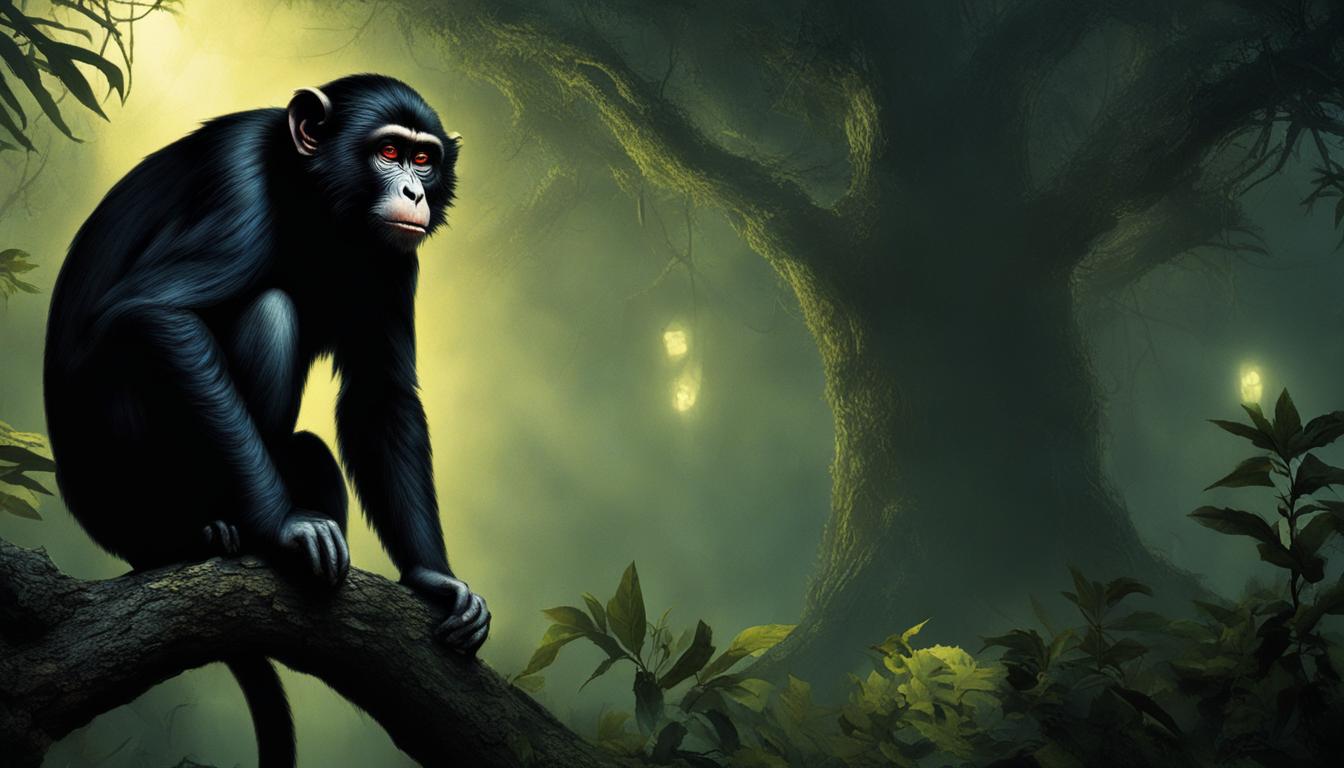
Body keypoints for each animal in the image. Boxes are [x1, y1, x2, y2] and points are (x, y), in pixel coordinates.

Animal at [42, 74, 489, 767]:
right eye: (389, 152)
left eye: (425, 159)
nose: (415, 191)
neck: (314, 196)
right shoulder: (235, 183)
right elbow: (159, 313)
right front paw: (283, 527)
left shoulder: (396, 260)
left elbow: (380, 395)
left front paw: (432, 579)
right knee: (267, 309)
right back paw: (216, 531)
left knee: (310, 448)